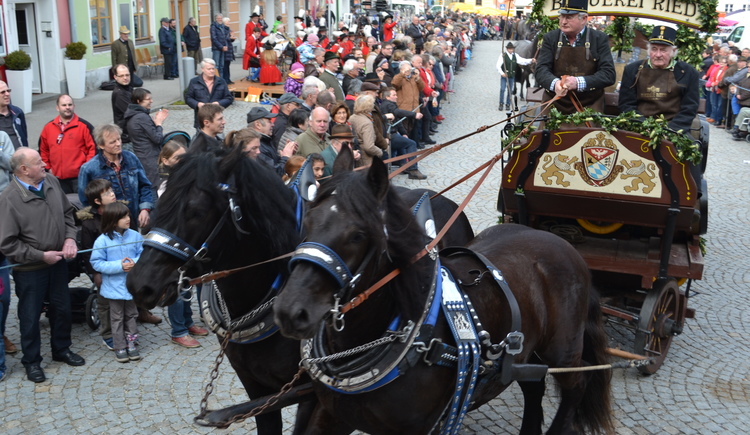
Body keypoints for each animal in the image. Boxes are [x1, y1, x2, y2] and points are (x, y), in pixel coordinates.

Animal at [274, 151, 612, 435]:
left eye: (358, 234)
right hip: (527, 351)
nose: (291, 311)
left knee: (577, 385)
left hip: (563, 351)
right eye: (307, 219)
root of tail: (561, 242)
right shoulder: (333, 415)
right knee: (534, 384)